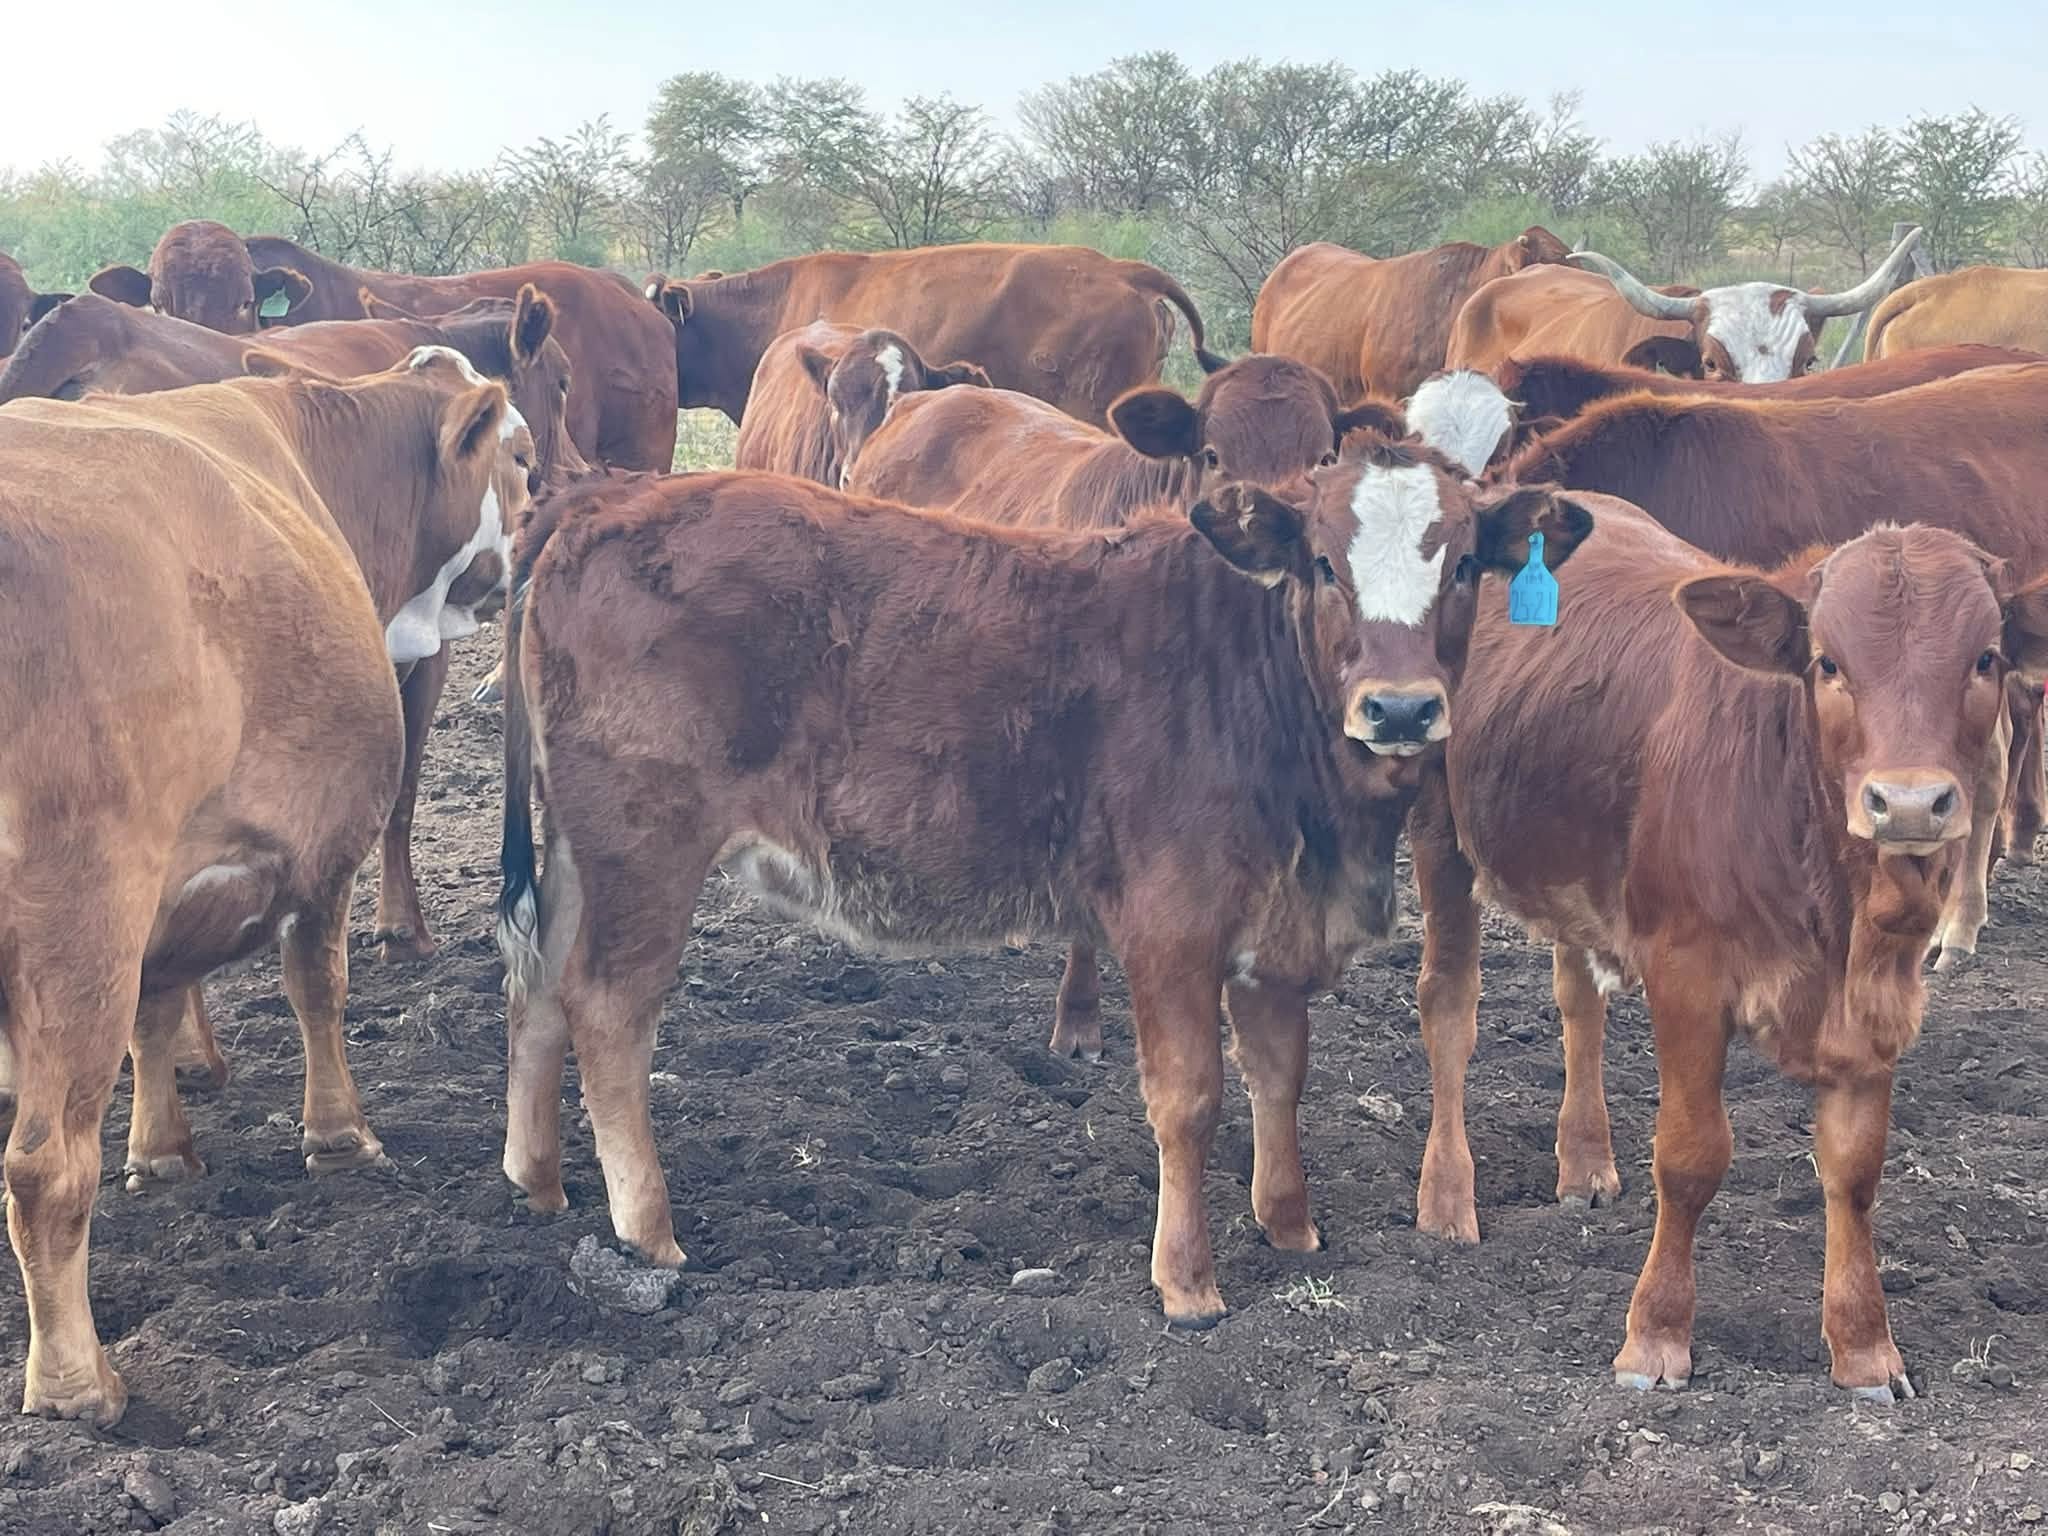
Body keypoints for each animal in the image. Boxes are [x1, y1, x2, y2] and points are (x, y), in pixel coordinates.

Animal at [0, 348, 522, 1426]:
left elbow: (158, 1020)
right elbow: (319, 989)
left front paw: (161, 1151)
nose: (545, 526)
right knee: (43, 1169)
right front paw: (340, 1137)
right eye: (523, 458)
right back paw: (78, 1383)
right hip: (79, 918)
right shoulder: (316, 851)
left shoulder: (171, 895)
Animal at [492, 459, 1594, 1326]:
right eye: (1325, 564)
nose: (1400, 710)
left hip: (576, 848)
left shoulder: (1270, 928)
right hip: (644, 843)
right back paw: (649, 1231)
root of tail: (607, 494)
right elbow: (1189, 1097)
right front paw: (1188, 1282)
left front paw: (1290, 1229)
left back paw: (537, 1183)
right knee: (608, 1007)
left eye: (1464, 564)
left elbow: (1279, 1075)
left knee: (536, 986)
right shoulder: (1169, 921)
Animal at [1404, 500, 2048, 1399]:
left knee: (1578, 998)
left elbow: (1855, 1168)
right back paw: (1446, 1198)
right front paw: (1654, 1338)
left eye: (1984, 656)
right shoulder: (1687, 975)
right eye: (1827, 662)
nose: (1911, 802)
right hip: (1439, 828)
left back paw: (1584, 1163)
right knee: (1449, 1006)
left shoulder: (1879, 1000)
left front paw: (1864, 1348)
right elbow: (1691, 1156)